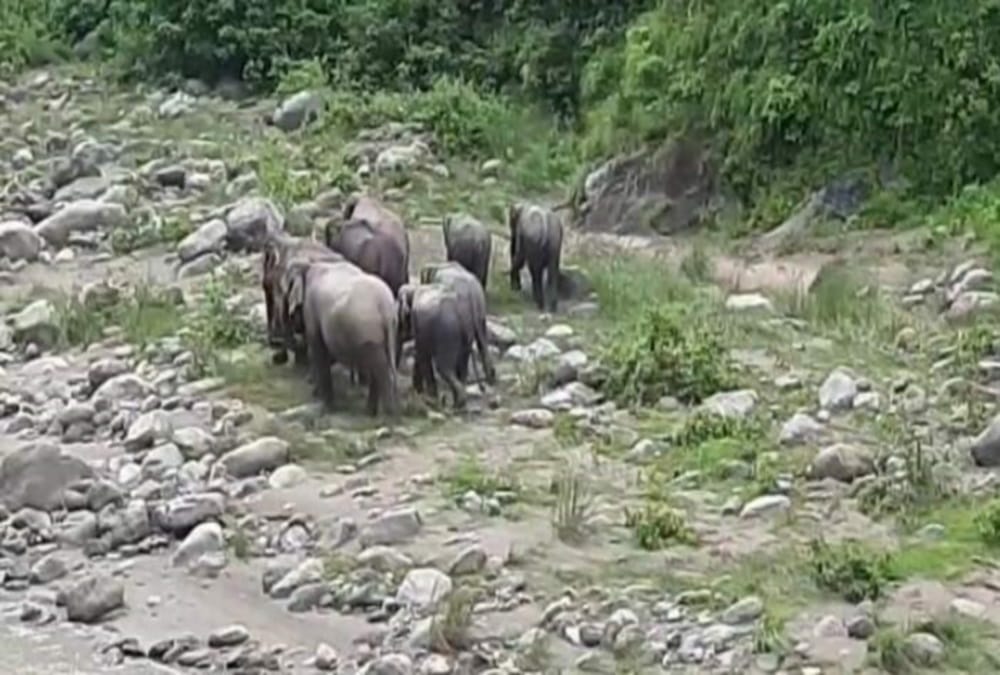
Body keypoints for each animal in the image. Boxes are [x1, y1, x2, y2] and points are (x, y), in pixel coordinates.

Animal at [283, 259, 400, 417]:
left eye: (286, 291)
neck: (309, 265)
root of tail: (386, 307)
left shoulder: (311, 309)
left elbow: (318, 348)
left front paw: (327, 407)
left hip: (367, 330)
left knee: (379, 366)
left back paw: (387, 417)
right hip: (388, 331)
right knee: (380, 364)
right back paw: (370, 413)